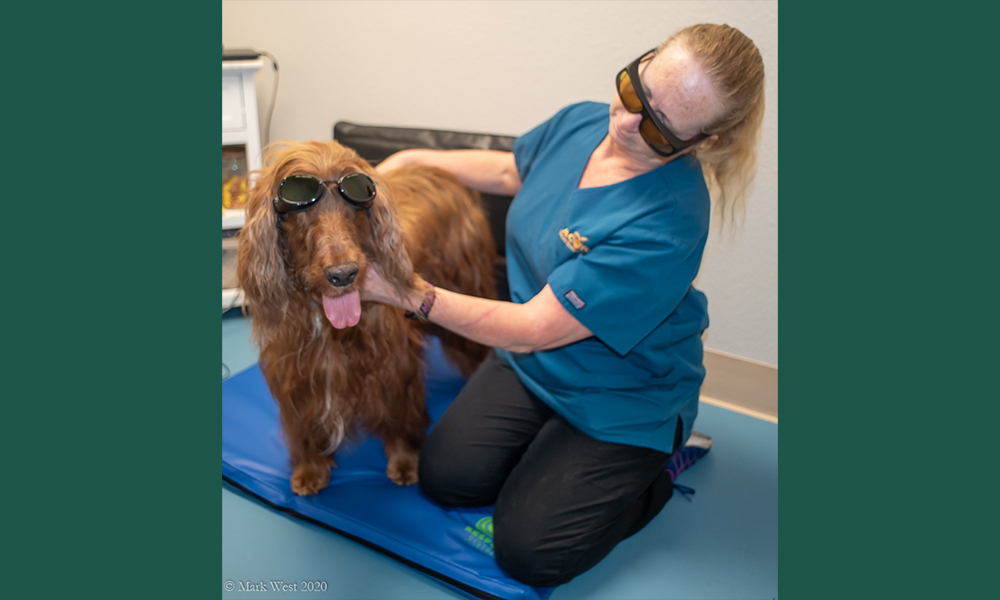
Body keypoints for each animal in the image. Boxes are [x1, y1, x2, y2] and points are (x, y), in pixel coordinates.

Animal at [238, 142, 496, 496]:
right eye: (299, 210)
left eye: (354, 203)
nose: (343, 274)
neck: (325, 320)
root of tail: (441, 170)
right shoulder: (295, 369)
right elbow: (303, 421)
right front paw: (310, 468)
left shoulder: (394, 362)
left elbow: (400, 411)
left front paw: (404, 460)